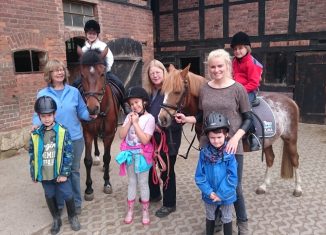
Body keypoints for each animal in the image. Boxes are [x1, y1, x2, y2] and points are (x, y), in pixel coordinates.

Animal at [79, 49, 119, 200]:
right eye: (82, 74)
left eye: (102, 74)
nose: (92, 108)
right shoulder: (87, 133)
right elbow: (87, 160)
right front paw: (89, 188)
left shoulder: (109, 134)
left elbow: (107, 158)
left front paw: (107, 183)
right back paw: (96, 157)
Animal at [158, 63, 304, 196]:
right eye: (163, 91)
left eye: (177, 91)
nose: (162, 119)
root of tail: (290, 101)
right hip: (268, 141)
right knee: (270, 158)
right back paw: (263, 186)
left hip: (290, 138)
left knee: (295, 159)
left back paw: (298, 188)